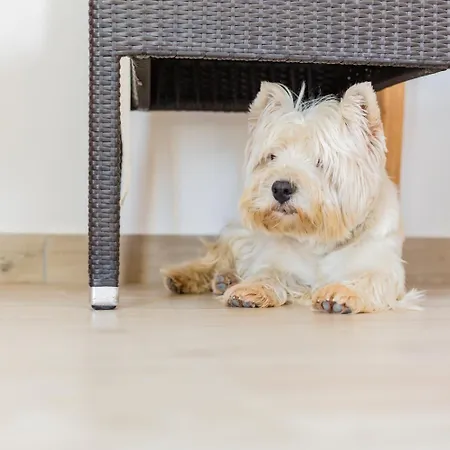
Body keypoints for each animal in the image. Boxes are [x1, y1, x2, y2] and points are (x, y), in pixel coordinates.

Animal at [161, 81, 422, 314]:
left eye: (320, 162)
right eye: (272, 156)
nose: (281, 188)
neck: (318, 238)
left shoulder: (381, 266)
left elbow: (370, 279)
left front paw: (341, 293)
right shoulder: (277, 260)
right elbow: (267, 272)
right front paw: (249, 290)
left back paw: (225, 279)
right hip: (243, 234)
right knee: (219, 254)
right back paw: (190, 277)